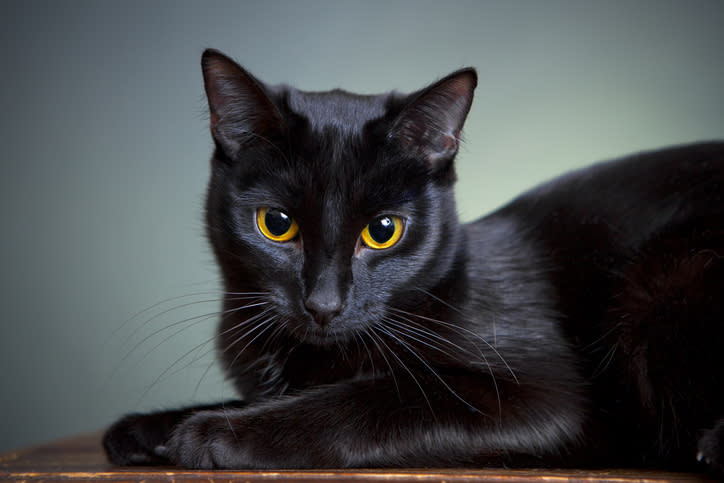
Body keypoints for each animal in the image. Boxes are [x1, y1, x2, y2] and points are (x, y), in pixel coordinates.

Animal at [103, 50, 724, 476]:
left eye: (383, 232)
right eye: (276, 224)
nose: (323, 303)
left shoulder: (544, 398)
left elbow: (374, 398)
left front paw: (212, 433)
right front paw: (147, 430)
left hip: (663, 281)